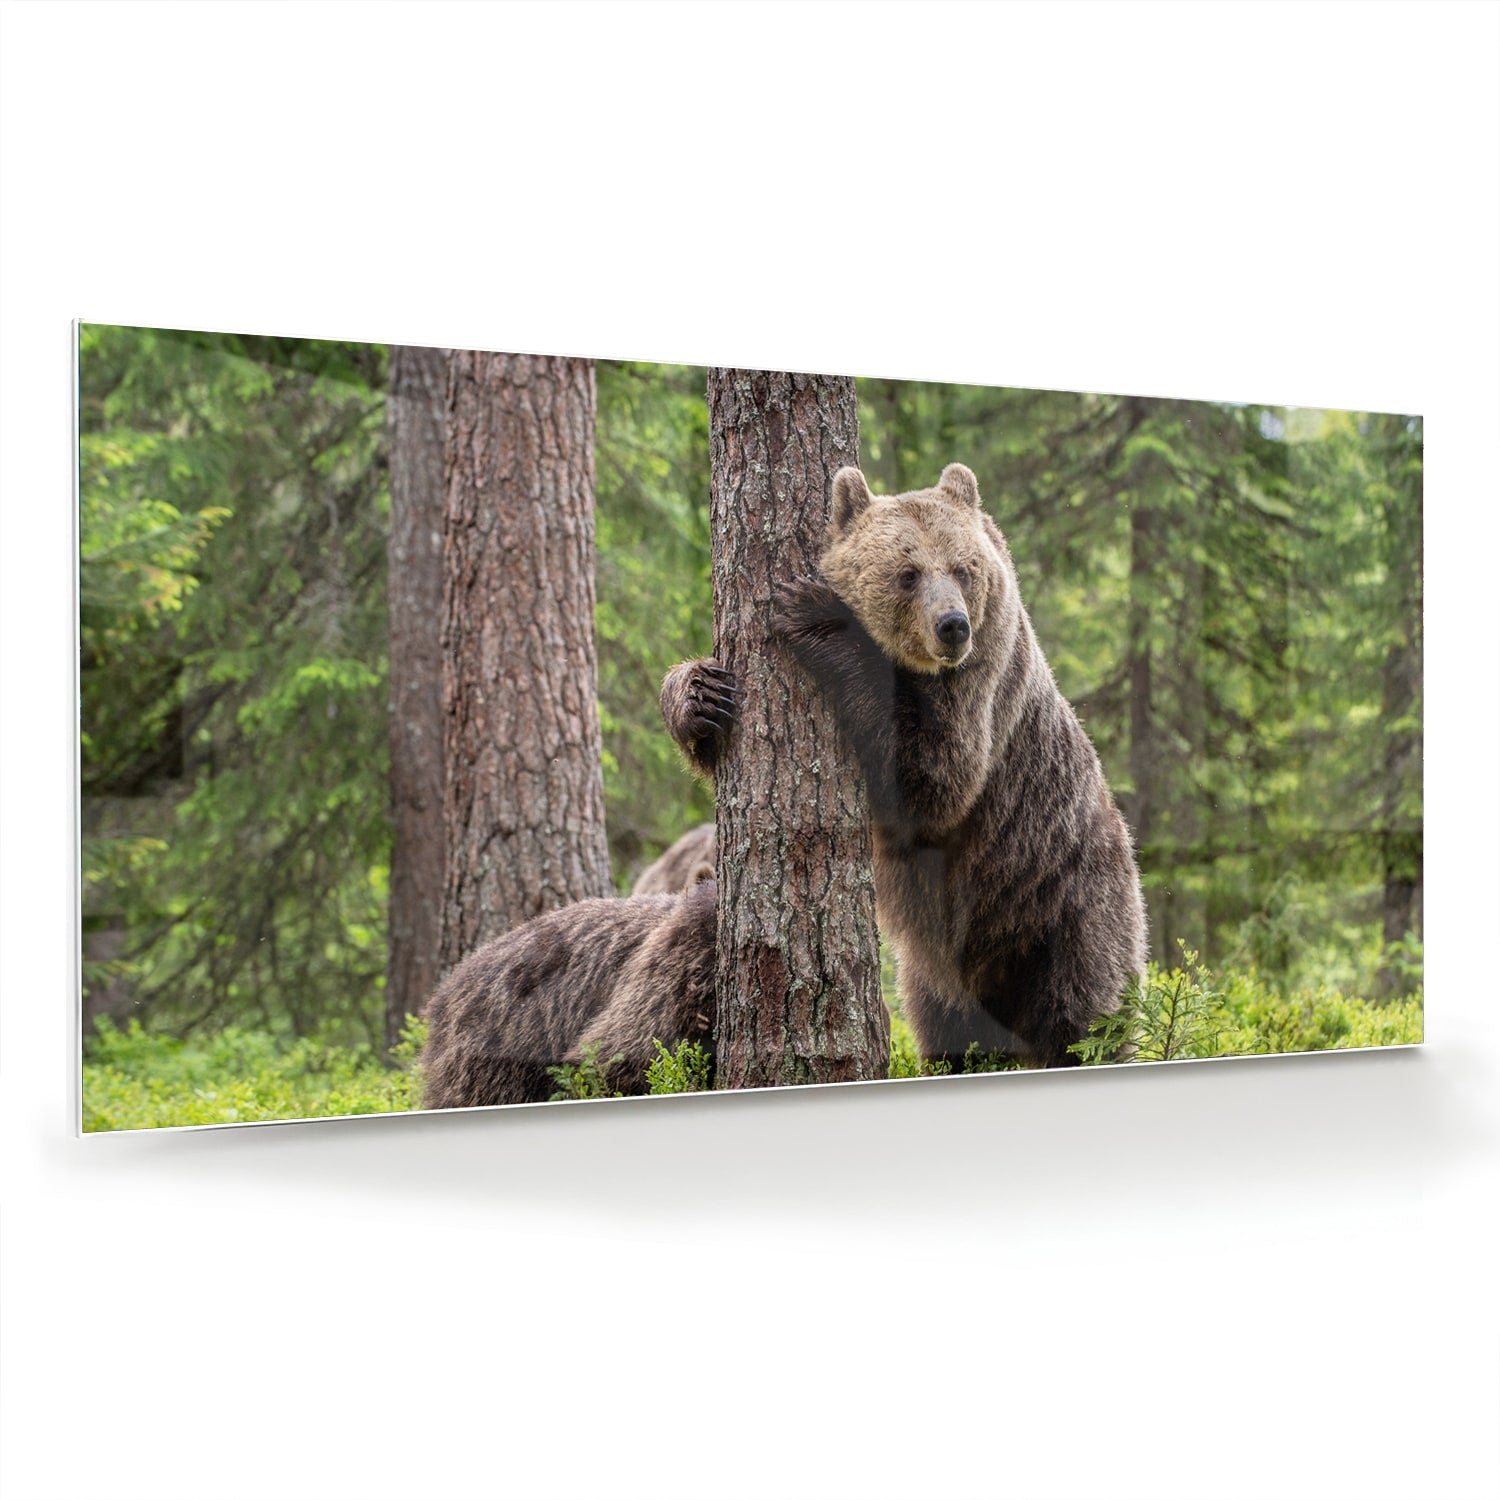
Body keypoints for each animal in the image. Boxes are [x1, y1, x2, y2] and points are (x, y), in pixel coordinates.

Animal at [660, 462, 1147, 1070]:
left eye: (962, 568)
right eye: (908, 573)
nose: (952, 625)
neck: (921, 669)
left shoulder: (982, 689)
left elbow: (934, 779)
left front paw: (818, 615)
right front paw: (701, 696)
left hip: (1069, 902)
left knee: (1082, 1013)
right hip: (939, 970)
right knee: (948, 1027)